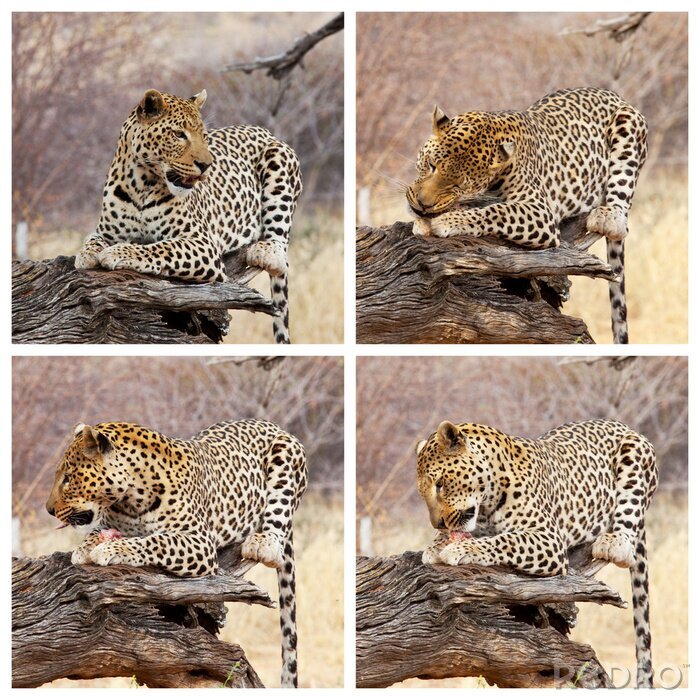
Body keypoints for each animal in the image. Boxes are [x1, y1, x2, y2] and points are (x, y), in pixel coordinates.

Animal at [46, 419, 308, 687]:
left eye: (68, 478)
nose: (49, 510)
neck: (130, 499)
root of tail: (269, 424)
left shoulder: (199, 542)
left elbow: (157, 540)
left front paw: (112, 548)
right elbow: (95, 532)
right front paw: (84, 548)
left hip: (288, 455)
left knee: (277, 522)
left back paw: (262, 542)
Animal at [75, 88, 302, 344]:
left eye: (203, 135)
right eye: (178, 134)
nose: (206, 165)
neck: (141, 183)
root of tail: (265, 131)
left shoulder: (202, 243)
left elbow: (162, 247)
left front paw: (119, 252)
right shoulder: (106, 230)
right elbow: (93, 240)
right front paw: (86, 255)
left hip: (280, 159)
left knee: (280, 249)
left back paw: (265, 251)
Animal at [406, 88, 649, 344]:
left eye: (458, 185)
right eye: (431, 165)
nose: (422, 204)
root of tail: (613, 95)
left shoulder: (540, 211)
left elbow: (496, 210)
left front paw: (447, 221)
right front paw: (424, 219)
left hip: (629, 126)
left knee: (621, 217)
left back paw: (607, 216)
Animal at [415, 419, 658, 687]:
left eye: (440, 484)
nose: (438, 524)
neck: (487, 501)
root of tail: (620, 424)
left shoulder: (548, 538)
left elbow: (506, 540)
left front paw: (461, 548)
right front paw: (436, 545)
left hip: (636, 454)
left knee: (627, 526)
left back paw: (614, 542)